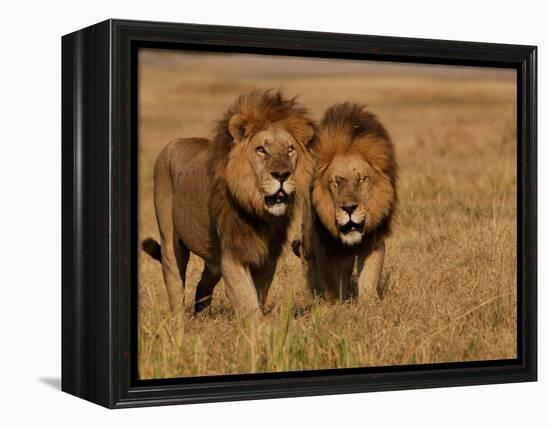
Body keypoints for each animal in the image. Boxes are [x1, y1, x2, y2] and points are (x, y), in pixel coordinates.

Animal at [143, 90, 314, 318]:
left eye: (290, 149)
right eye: (261, 150)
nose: (282, 175)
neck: (259, 213)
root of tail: (176, 141)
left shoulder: (267, 257)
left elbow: (258, 296)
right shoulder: (232, 256)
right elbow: (248, 302)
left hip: (212, 258)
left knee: (203, 285)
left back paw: (201, 317)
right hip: (170, 240)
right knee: (175, 282)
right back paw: (180, 321)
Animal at [298, 103, 396, 300]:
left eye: (362, 180)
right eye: (336, 182)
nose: (349, 208)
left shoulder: (374, 241)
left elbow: (369, 278)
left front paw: (369, 303)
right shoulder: (324, 245)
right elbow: (330, 281)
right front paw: (334, 303)